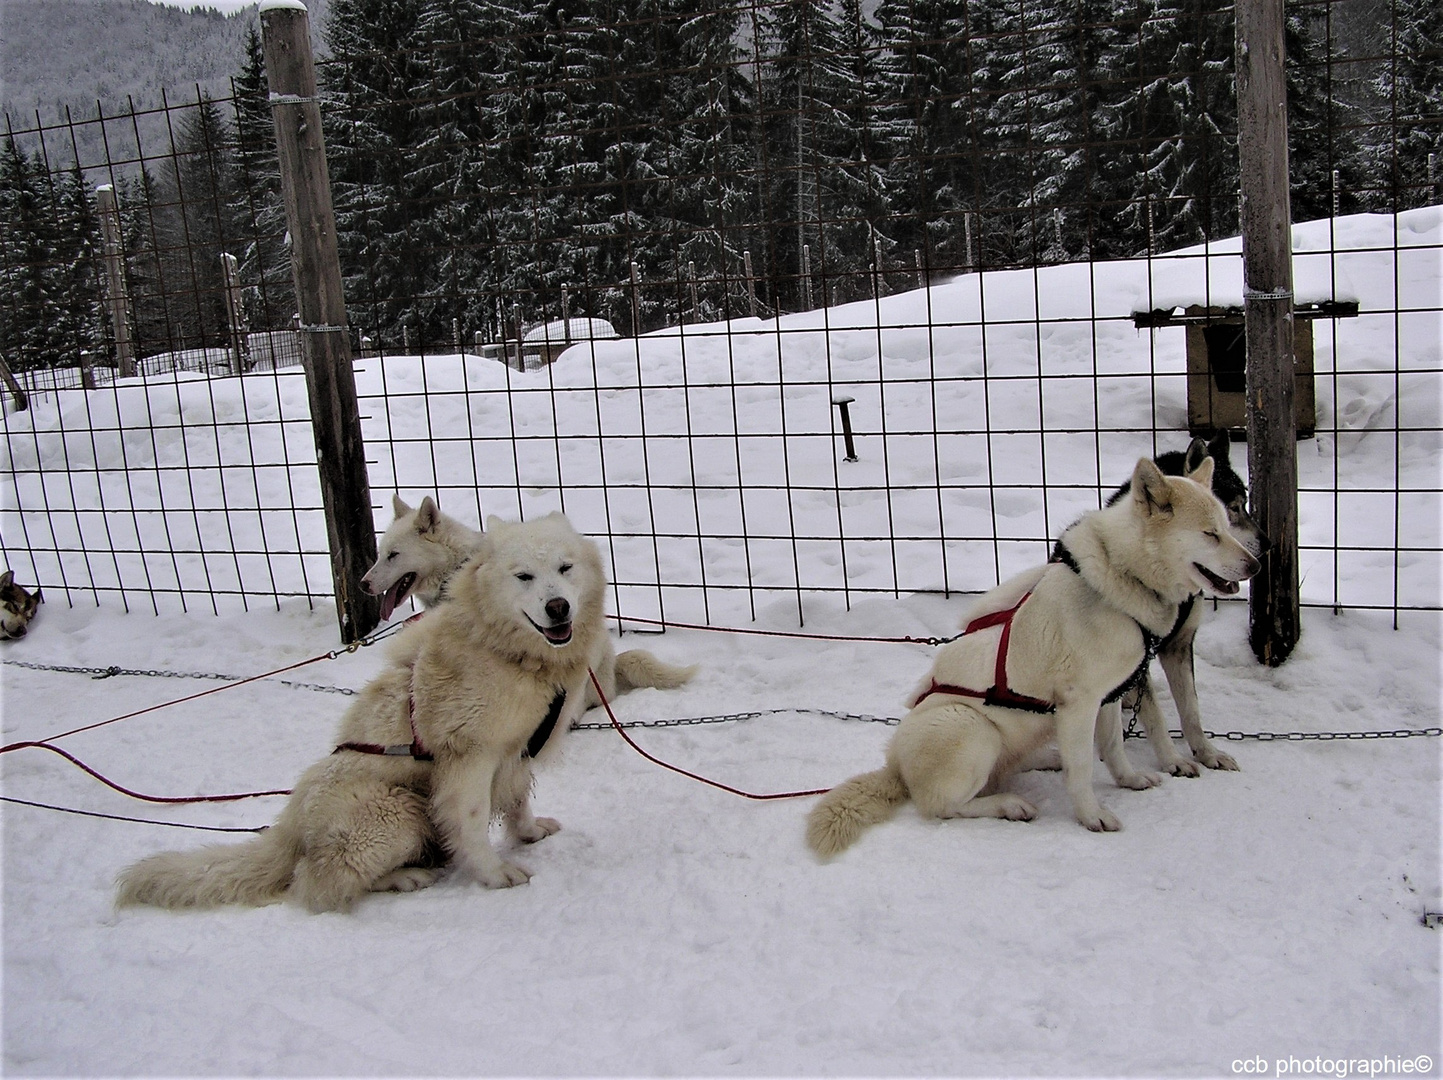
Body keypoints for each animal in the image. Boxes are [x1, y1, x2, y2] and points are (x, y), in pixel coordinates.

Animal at [116, 514, 649, 912]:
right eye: (524, 577)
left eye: (565, 568)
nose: (558, 608)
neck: (508, 651)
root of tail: (291, 825)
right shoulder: (469, 758)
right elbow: (473, 821)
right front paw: (495, 873)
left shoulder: (516, 750)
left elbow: (517, 802)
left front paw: (529, 834)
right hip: (398, 810)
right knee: (317, 885)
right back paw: (404, 879)